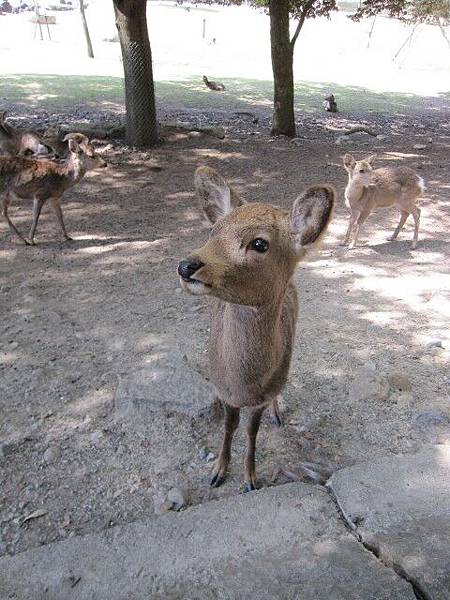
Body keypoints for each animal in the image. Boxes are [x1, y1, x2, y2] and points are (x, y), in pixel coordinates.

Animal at [178, 165, 336, 492]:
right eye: (213, 231)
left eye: (260, 243)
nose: (187, 266)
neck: (243, 384)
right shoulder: (222, 389)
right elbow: (229, 426)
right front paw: (218, 472)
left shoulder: (262, 395)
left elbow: (252, 431)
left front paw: (251, 478)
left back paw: (278, 412)